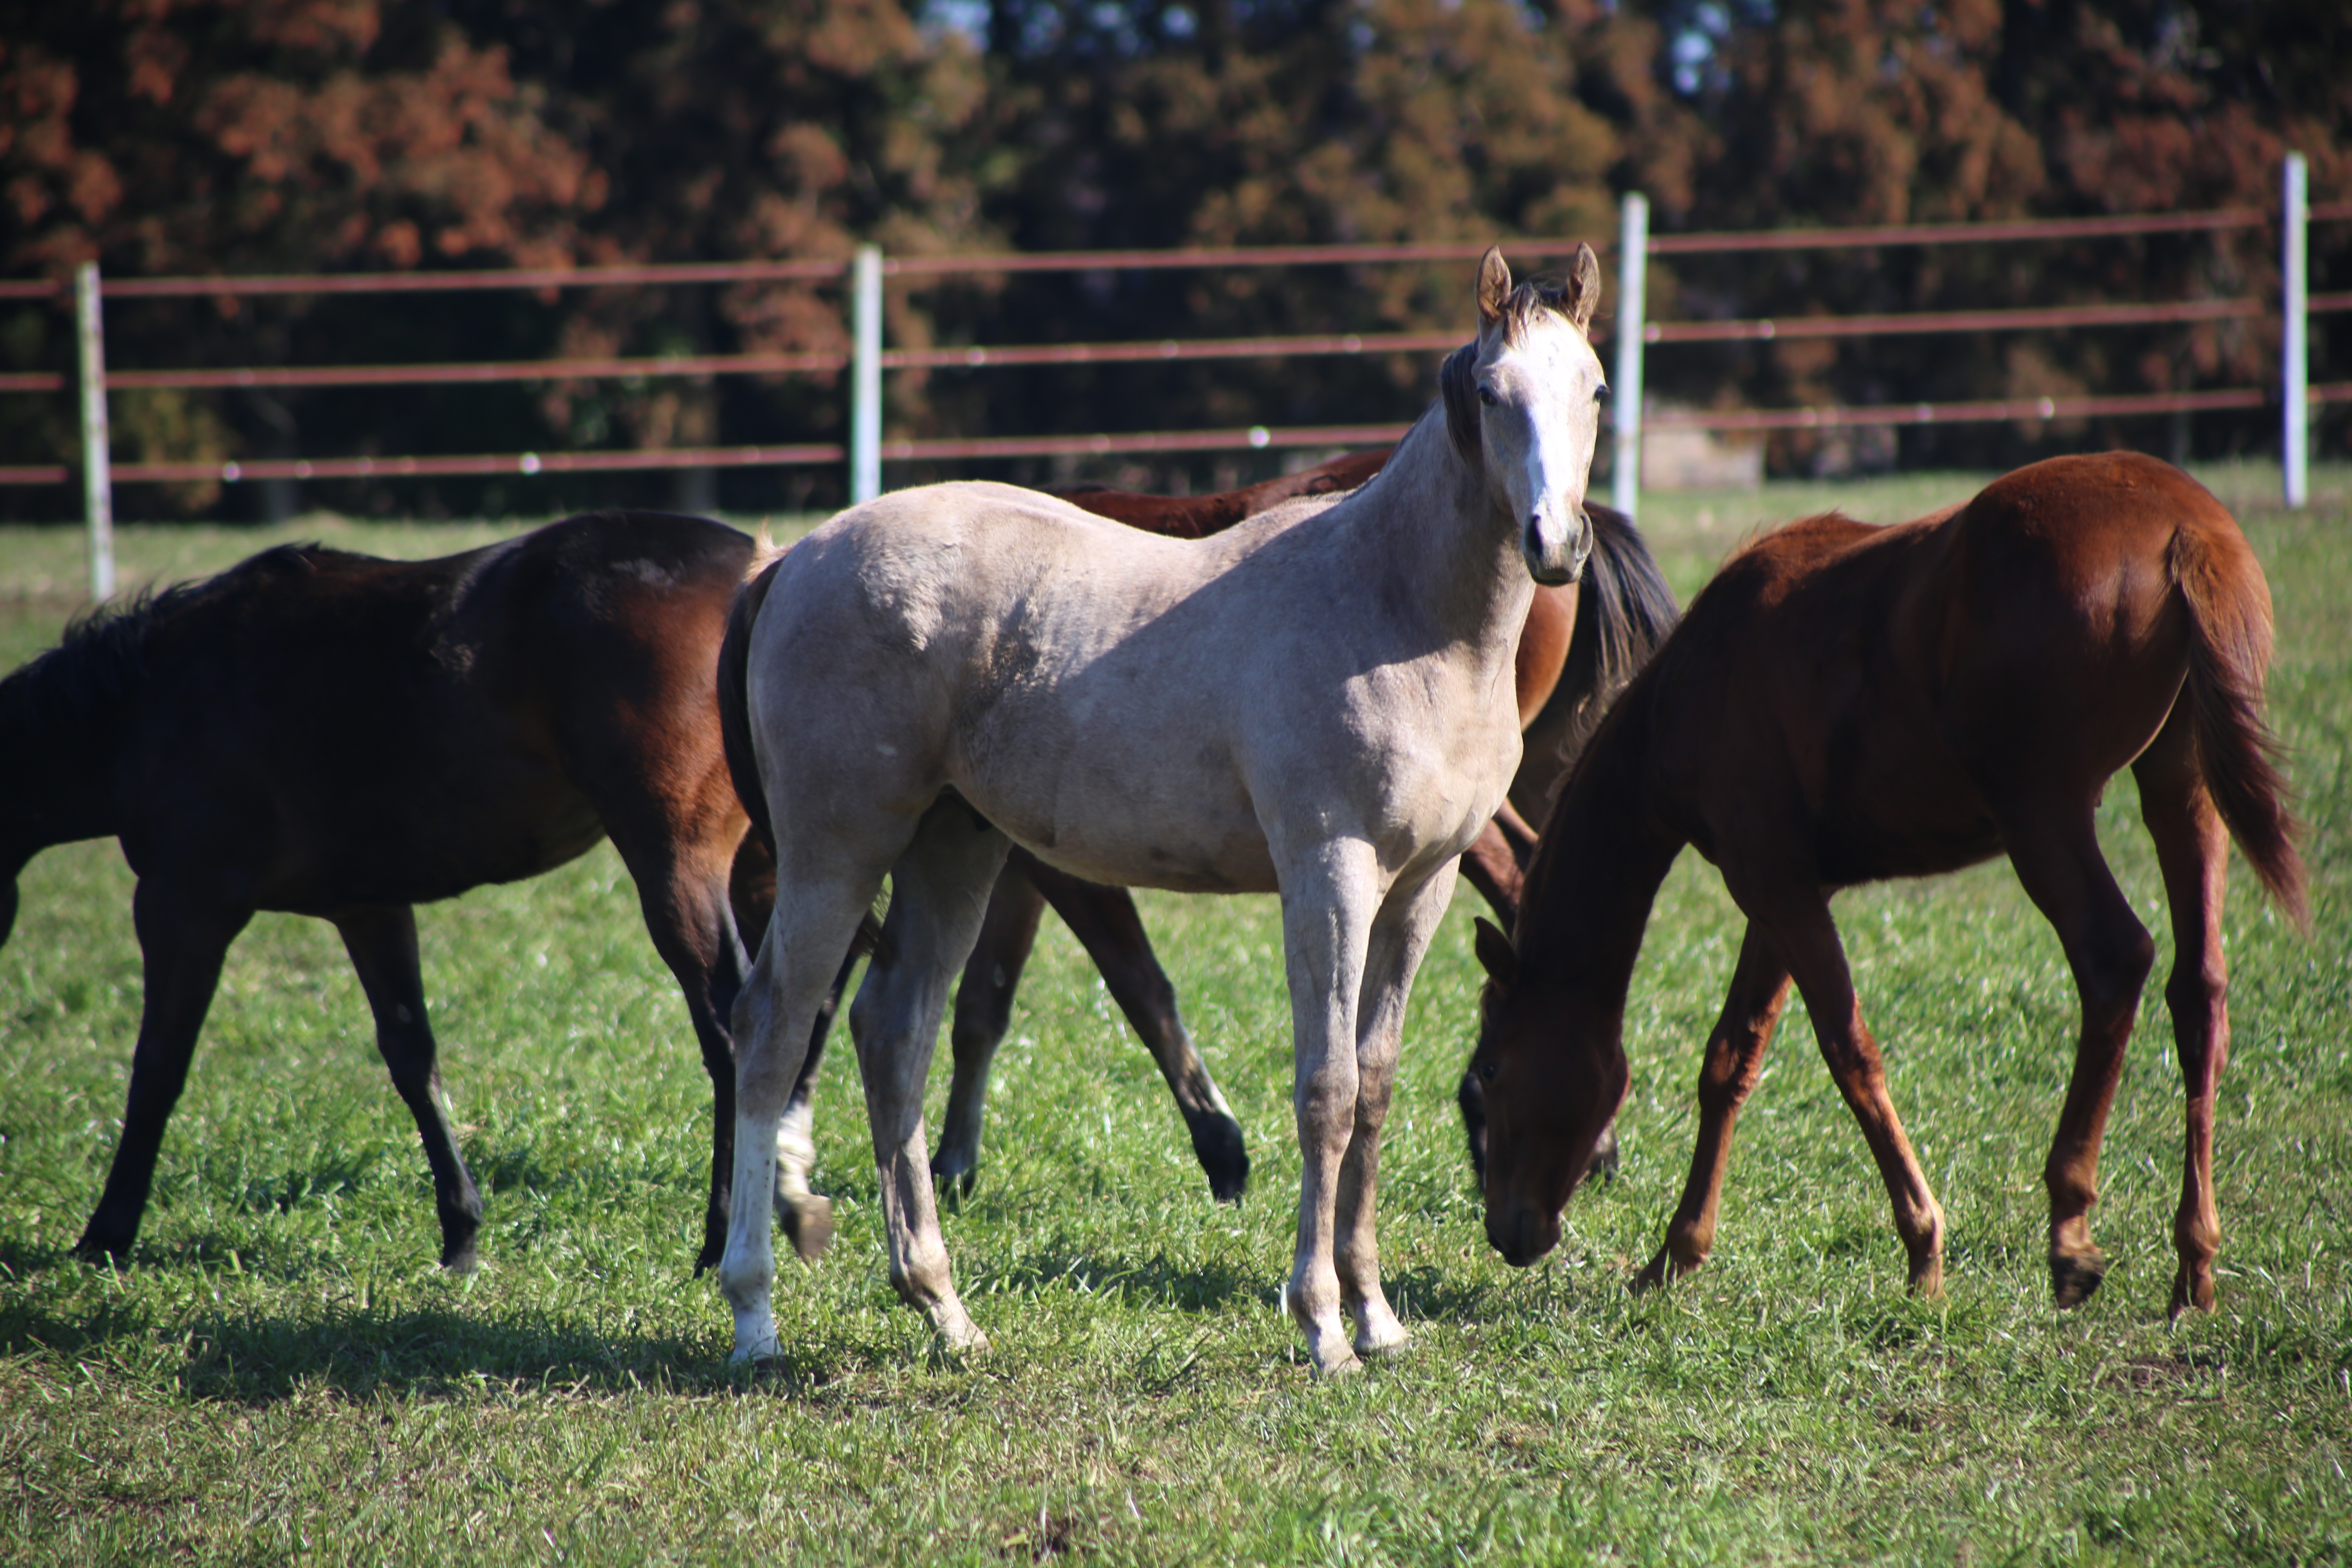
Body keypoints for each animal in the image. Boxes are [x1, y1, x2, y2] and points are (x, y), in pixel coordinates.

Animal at [719, 248, 1618, 1373]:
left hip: (952, 848)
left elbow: (1372, 1087)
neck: (1397, 610)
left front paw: (1377, 1316)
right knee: (771, 1028)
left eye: (1594, 390)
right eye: (1493, 394)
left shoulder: (1422, 886)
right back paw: (755, 1315)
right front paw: (1321, 1322)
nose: (1556, 543)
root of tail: (790, 560)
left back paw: (944, 1308)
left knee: (894, 1033)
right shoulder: (1329, 874)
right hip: (837, 852)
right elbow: (1323, 1091)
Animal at [1477, 446, 2305, 1316]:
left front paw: (1922, 1250)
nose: (1506, 1230)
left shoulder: (1774, 884)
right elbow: (1730, 1059)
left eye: (1492, 1068)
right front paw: (1675, 1255)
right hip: (2181, 786)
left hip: (2043, 814)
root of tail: (2186, 530)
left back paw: (2071, 1227)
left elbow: (1849, 1050)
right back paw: (2194, 1264)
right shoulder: (1783, 891)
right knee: (2198, 991)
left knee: (2114, 961)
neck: (1697, 679)